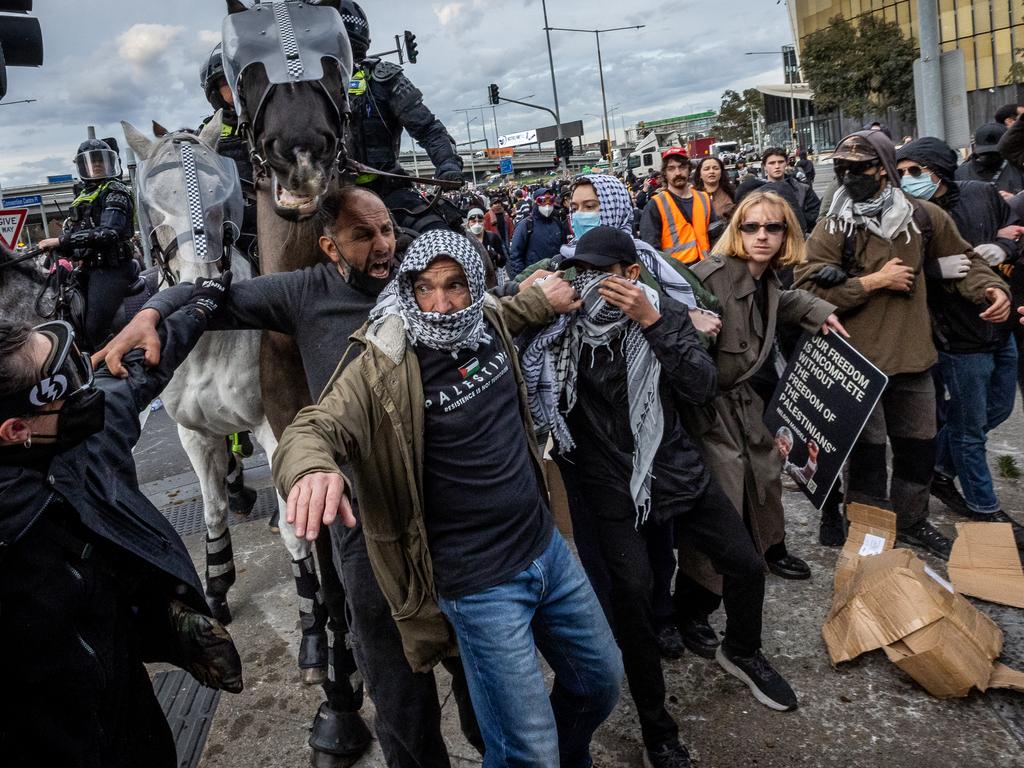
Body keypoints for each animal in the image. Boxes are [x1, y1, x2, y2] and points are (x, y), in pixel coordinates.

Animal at [120, 115, 327, 684]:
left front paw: (314, 633)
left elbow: (296, 534)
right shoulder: (194, 435)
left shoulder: (277, 431)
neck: (211, 337)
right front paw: (215, 588)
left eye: (221, 200)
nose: (200, 286)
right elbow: (212, 512)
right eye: (153, 203)